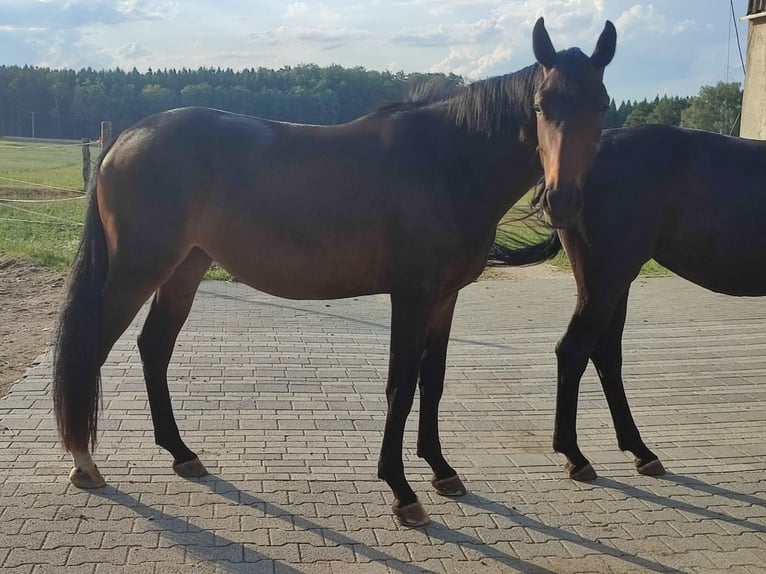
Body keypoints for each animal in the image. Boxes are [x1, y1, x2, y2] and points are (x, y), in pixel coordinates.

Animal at [52, 18, 616, 527]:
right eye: (541, 106)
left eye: (603, 105)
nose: (564, 201)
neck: (445, 161)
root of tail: (129, 134)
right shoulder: (411, 297)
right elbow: (400, 387)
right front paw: (402, 491)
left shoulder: (445, 297)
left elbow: (431, 381)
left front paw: (441, 470)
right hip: (137, 271)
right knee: (93, 348)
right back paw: (85, 463)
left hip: (184, 269)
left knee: (154, 348)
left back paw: (181, 453)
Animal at [491, 124, 766, 482]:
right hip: (604, 283)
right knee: (574, 351)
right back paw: (576, 455)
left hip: (615, 284)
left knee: (606, 354)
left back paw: (640, 451)